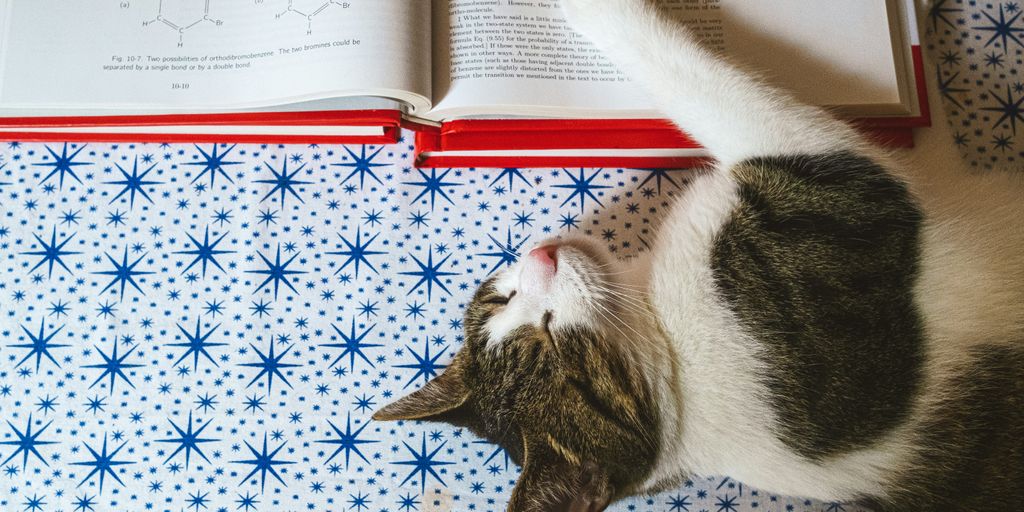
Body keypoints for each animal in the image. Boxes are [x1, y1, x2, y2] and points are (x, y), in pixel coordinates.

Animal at [374, 2, 1024, 509]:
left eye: (503, 298)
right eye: (554, 338)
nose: (541, 261)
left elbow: (937, 145)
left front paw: (924, 45)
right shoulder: (836, 202)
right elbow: (701, 81)